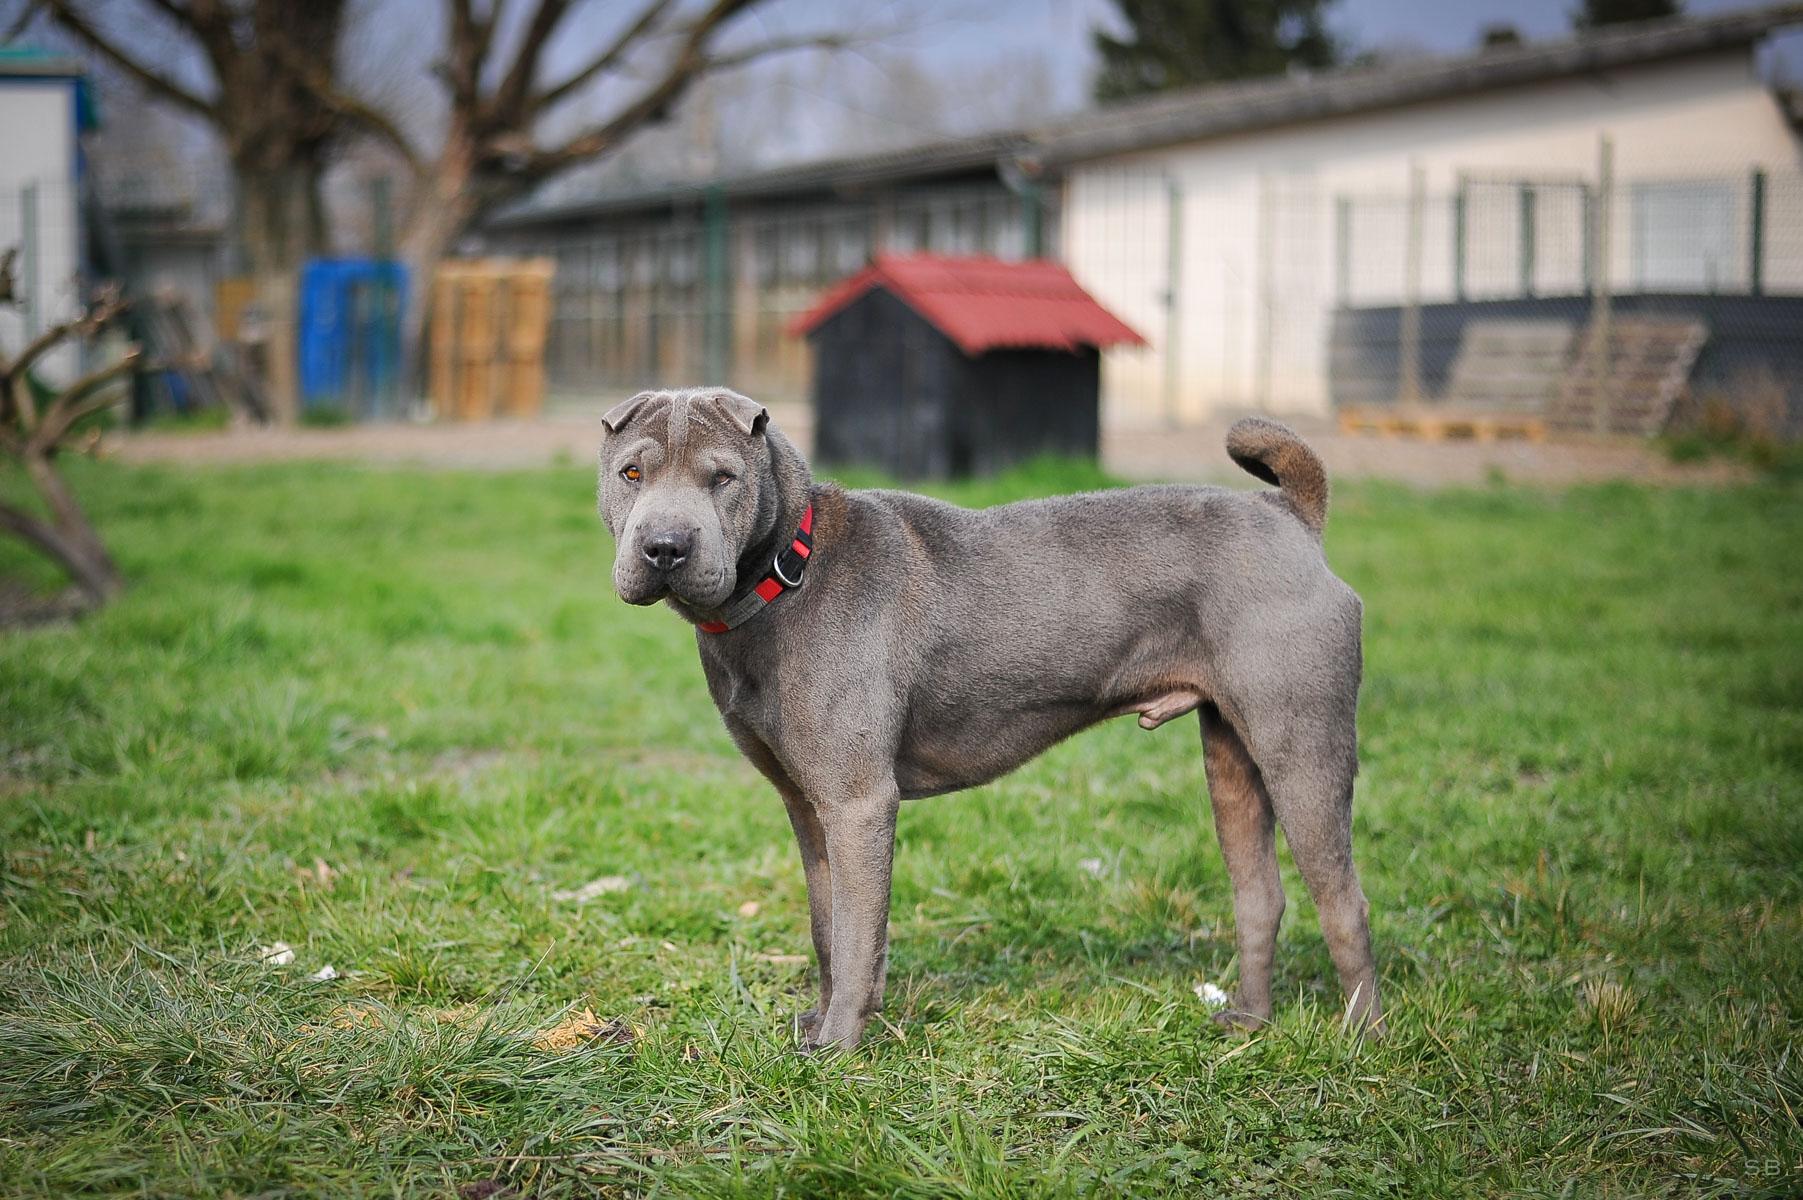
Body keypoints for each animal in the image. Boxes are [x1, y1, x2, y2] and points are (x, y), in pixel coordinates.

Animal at [602, 385, 1377, 1045]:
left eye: (723, 477)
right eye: (632, 472)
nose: (664, 548)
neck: (790, 570)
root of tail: (1290, 518)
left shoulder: (858, 802)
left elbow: (857, 936)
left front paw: (840, 1048)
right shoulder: (807, 805)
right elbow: (828, 928)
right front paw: (819, 1024)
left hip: (1301, 744)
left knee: (1344, 901)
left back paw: (1358, 1042)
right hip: (1231, 756)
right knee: (1260, 896)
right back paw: (1247, 1022)